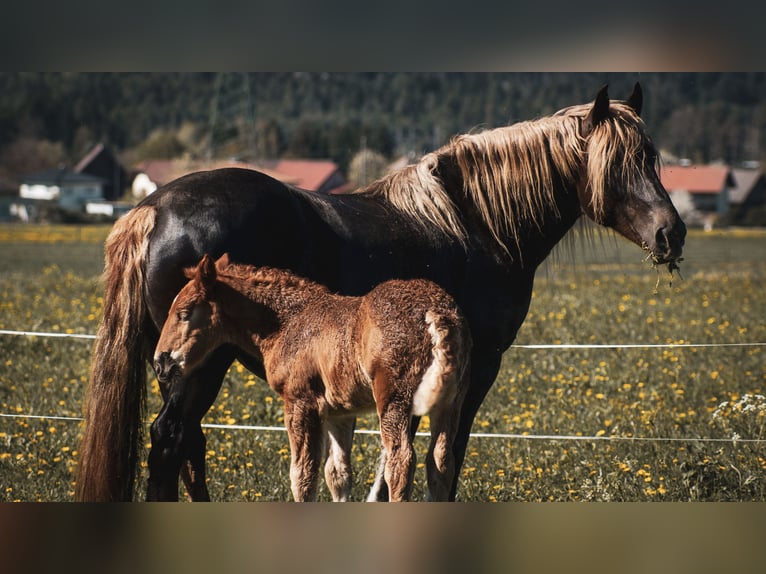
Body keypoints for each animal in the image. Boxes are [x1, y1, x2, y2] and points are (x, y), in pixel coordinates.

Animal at [76, 83, 688, 502]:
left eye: (652, 157)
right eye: (619, 162)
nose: (671, 233)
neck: (479, 224)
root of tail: (153, 209)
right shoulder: (478, 367)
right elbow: (445, 458)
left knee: (188, 446)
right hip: (196, 365)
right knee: (171, 439)